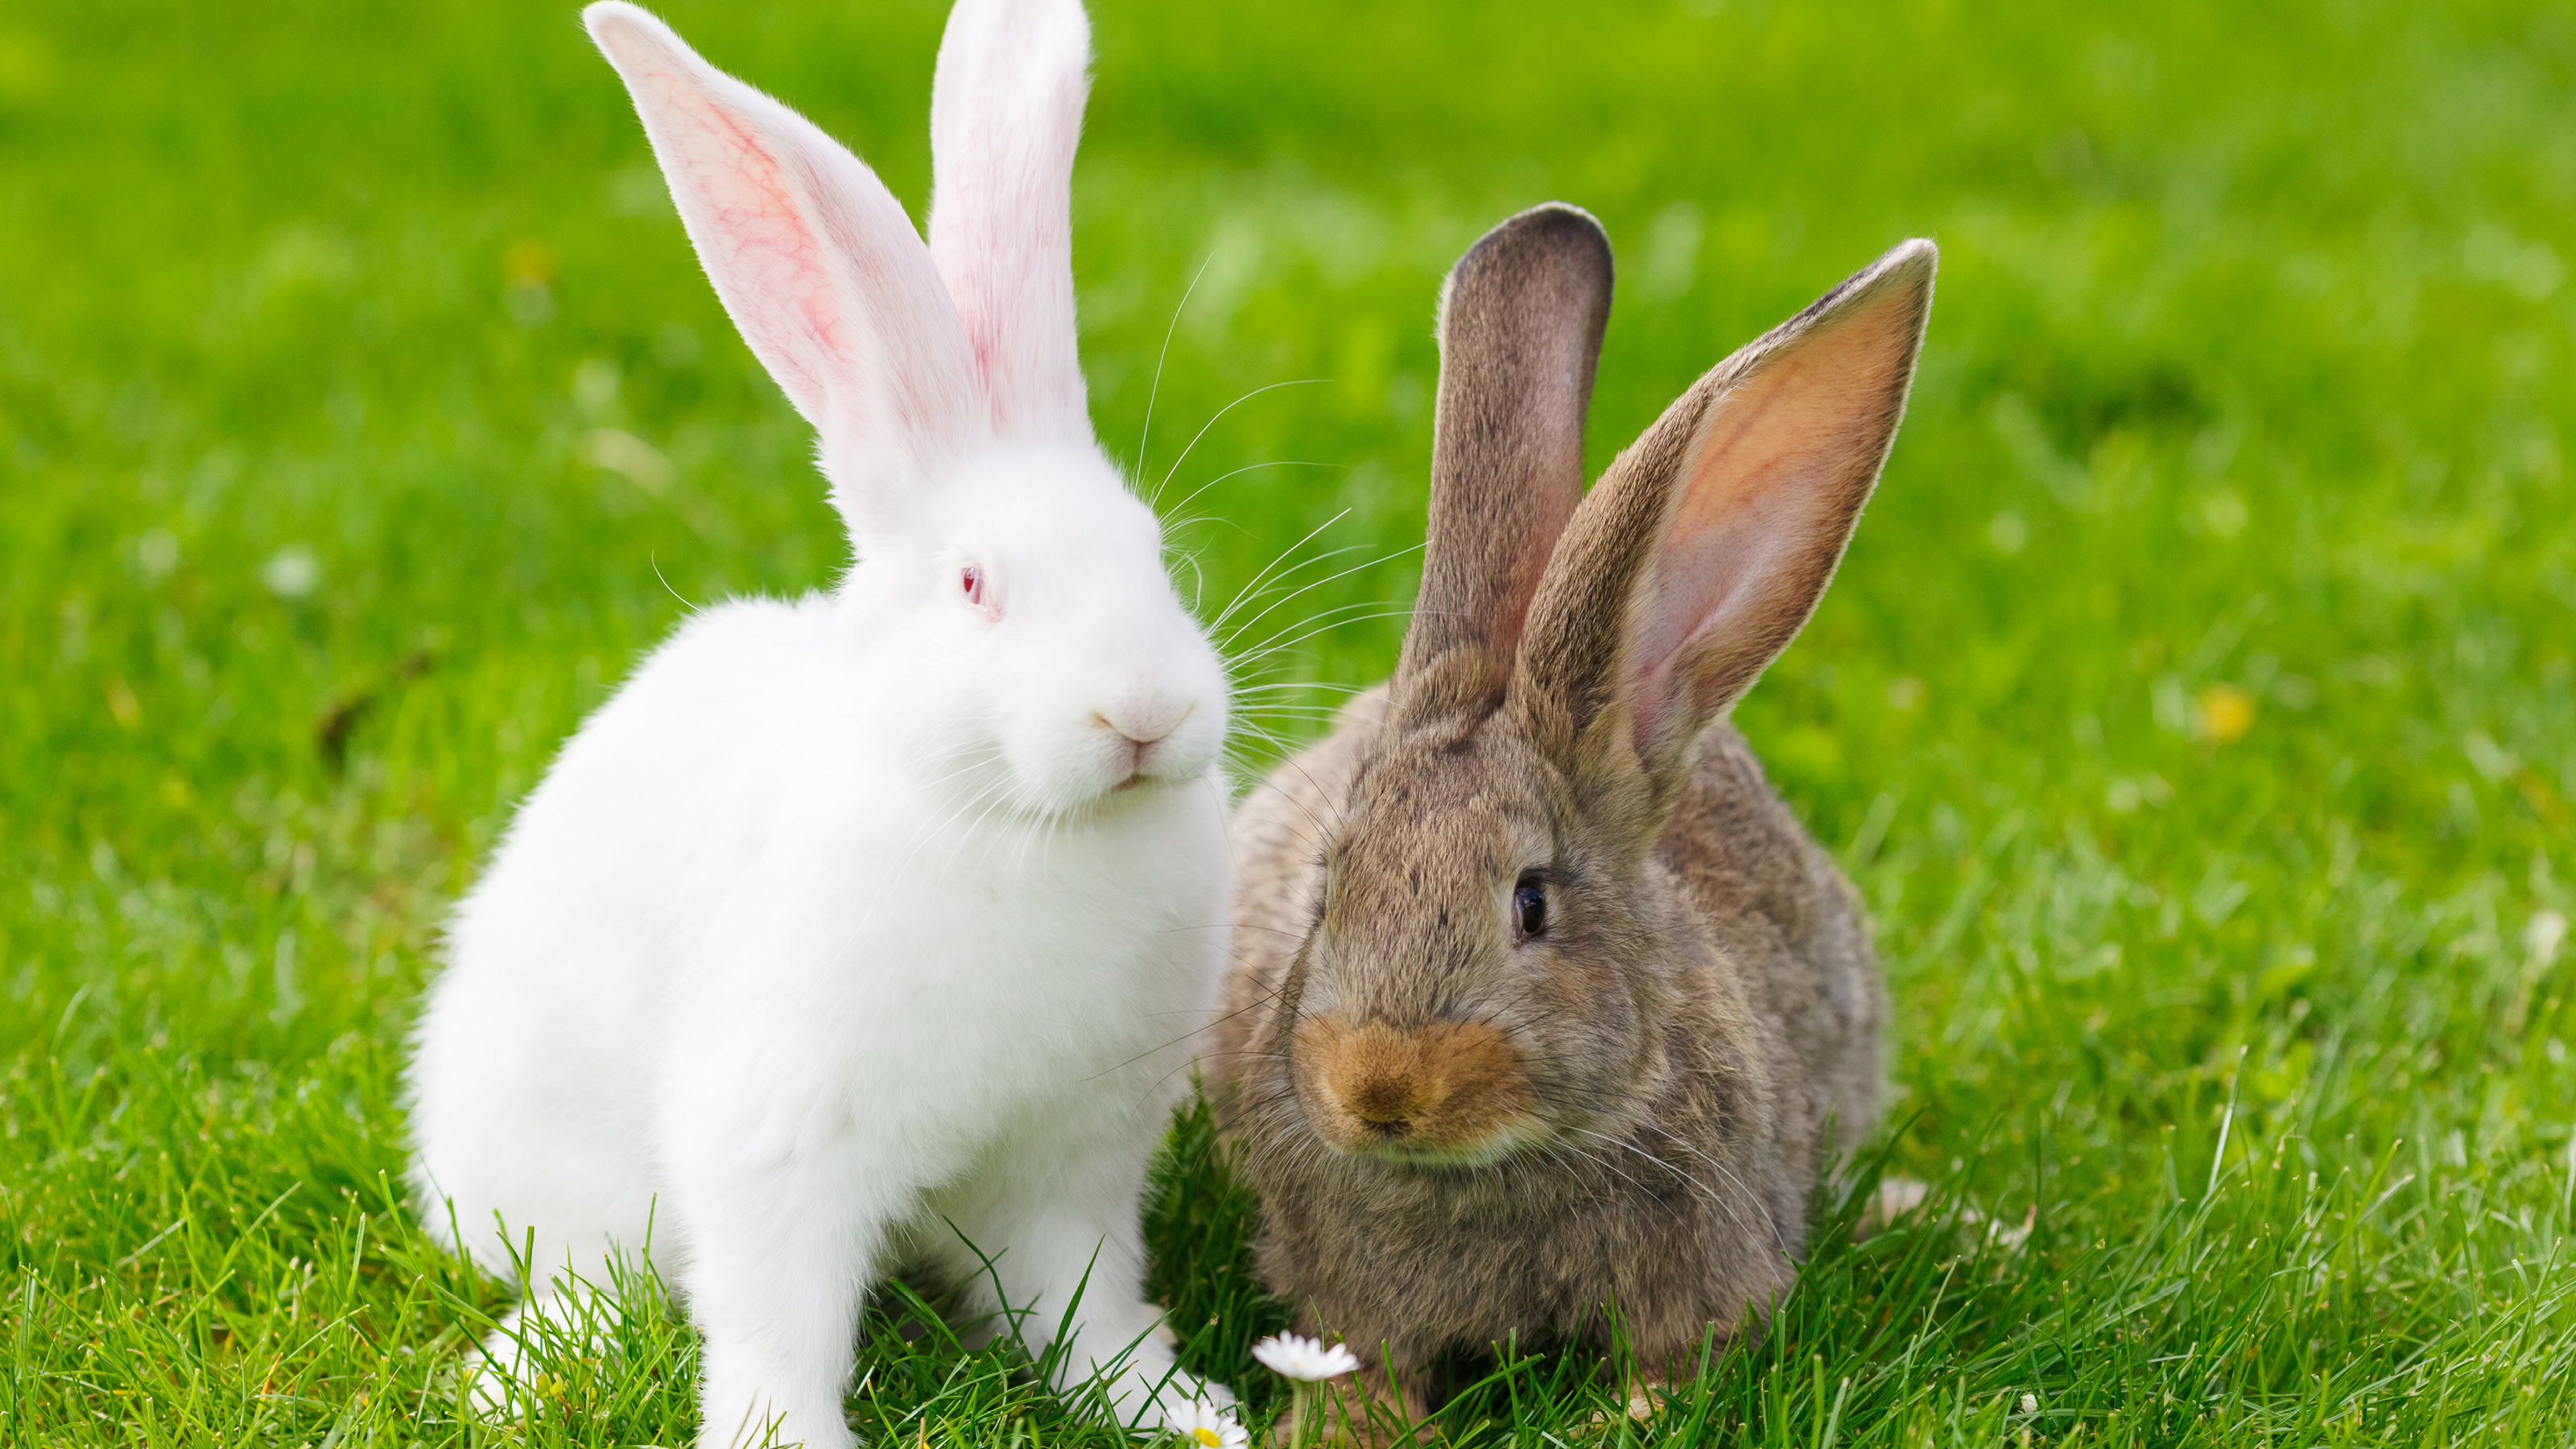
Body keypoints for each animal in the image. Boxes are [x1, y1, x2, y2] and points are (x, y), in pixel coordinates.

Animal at [402, 6, 1236, 1433]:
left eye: (1159, 557)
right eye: (974, 587)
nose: (1144, 711)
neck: (1018, 823)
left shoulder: (1071, 1167)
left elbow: (1084, 1309)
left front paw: (1174, 1409)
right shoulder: (772, 1142)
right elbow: (776, 1323)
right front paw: (778, 1437)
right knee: (585, 1272)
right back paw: (513, 1380)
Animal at [1211, 204, 1937, 1433]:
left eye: (1532, 904)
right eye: (1328, 888)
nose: (1379, 1089)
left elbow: (1679, 1369)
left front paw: (1604, 1423)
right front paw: (1346, 1429)